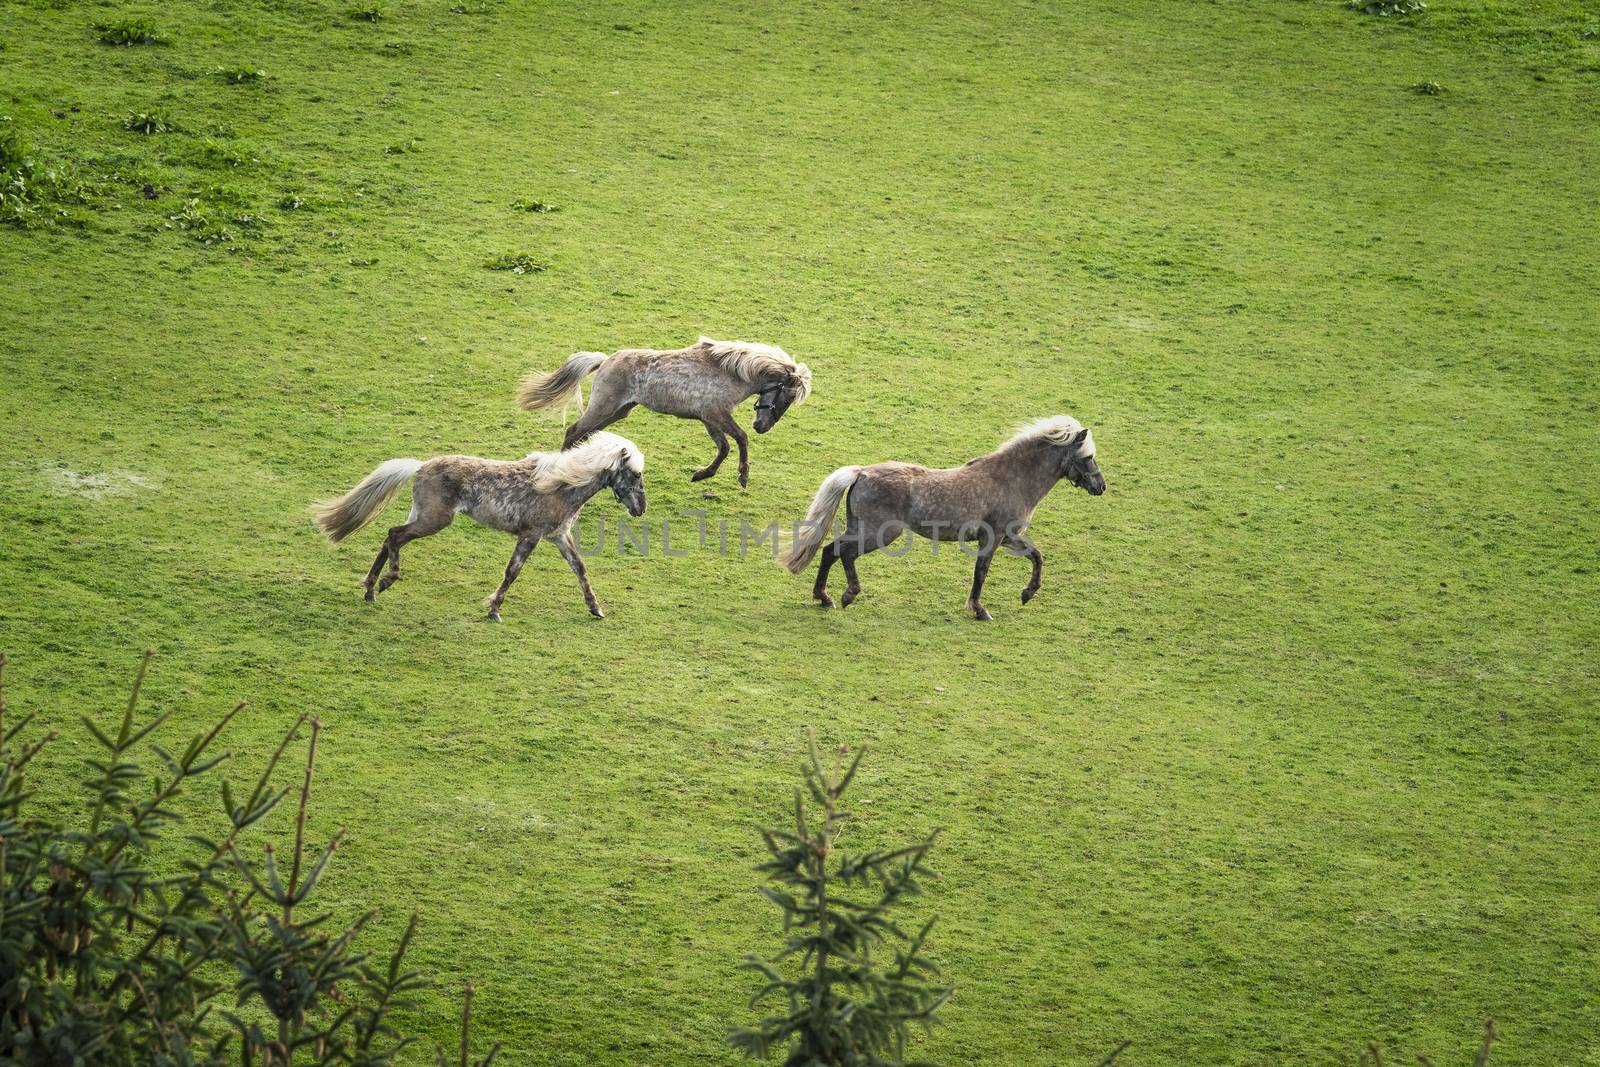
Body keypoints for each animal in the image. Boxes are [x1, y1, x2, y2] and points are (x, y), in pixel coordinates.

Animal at [312, 431, 643, 620]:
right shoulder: (531, 535)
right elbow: (512, 571)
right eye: (635, 474)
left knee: (388, 538)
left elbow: (580, 569)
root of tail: (420, 466)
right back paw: (385, 582)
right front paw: (494, 610)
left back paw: (370, 589)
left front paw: (595, 608)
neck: (560, 487)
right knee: (393, 536)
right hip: (433, 520)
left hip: (421, 516)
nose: (641, 508)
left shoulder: (559, 537)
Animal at [515, 335, 812, 489]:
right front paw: (743, 476)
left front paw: (702, 474)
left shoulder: (709, 419)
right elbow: (740, 439)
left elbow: (724, 447)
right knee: (574, 431)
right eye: (786, 398)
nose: (762, 426)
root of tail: (606, 360)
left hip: (618, 411)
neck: (729, 372)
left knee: (583, 434)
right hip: (604, 407)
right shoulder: (717, 415)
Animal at [780, 415, 1107, 620]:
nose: (1101, 487)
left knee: (829, 551)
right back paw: (847, 595)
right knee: (842, 553)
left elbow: (1036, 556)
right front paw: (980, 610)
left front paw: (1027, 594)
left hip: (862, 529)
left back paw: (825, 598)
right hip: (880, 534)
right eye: (1088, 457)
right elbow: (981, 573)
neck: (1010, 480)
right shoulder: (993, 539)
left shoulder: (1008, 537)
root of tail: (862, 472)